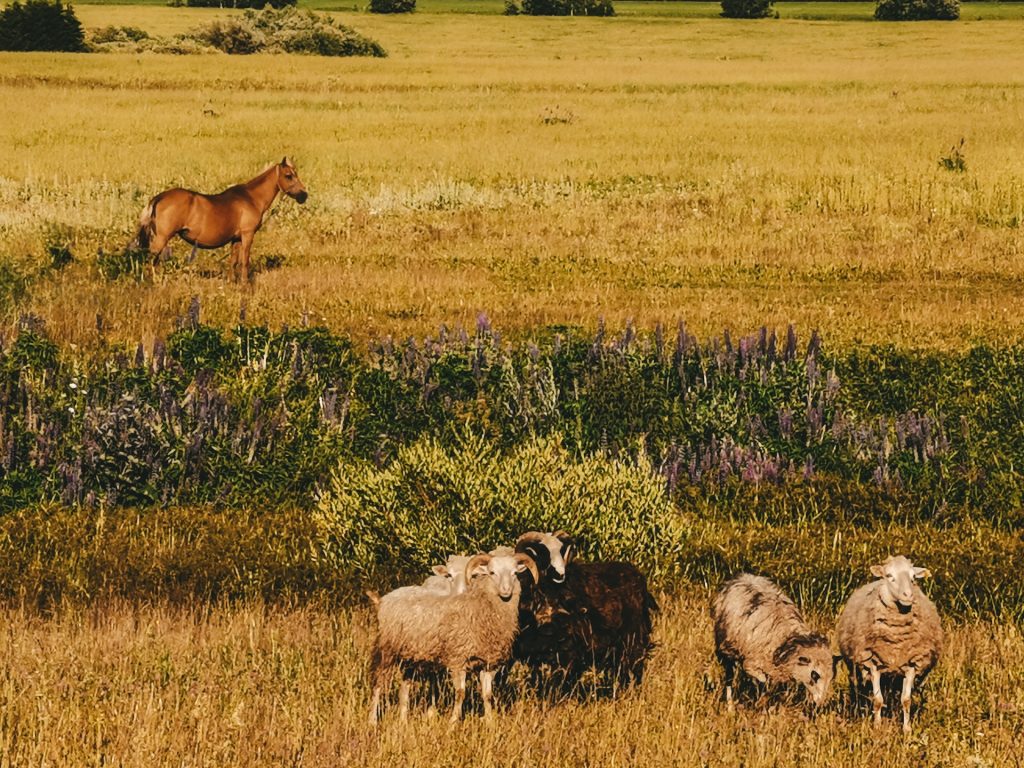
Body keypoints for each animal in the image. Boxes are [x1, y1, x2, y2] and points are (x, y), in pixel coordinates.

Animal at [133, 156, 307, 282]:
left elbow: (233, 261)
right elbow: (244, 261)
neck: (251, 198)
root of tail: (159, 197)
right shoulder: (247, 235)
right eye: (289, 176)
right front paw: (244, 284)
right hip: (162, 238)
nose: (304, 196)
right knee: (151, 259)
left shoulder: (236, 238)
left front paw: (231, 282)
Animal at [370, 548, 544, 724]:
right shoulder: (458, 659)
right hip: (387, 648)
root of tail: (386, 598)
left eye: (514, 573)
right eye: (492, 572)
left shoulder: (487, 663)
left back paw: (403, 721)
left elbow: (487, 695)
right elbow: (460, 693)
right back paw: (372, 720)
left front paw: (490, 722)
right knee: (378, 683)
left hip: (412, 655)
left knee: (404, 686)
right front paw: (453, 722)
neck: (480, 608)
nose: (506, 590)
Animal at [509, 532, 655, 696]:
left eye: (562, 550)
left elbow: (558, 681)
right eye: (543, 552)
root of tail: (640, 578)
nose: (560, 574)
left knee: (633, 667)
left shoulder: (567, 649)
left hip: (633, 639)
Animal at [712, 577, 831, 708]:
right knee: (729, 677)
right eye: (815, 675)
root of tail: (741, 577)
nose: (819, 703)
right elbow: (762, 680)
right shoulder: (751, 663)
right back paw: (730, 704)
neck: (785, 641)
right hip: (725, 649)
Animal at [835, 552, 937, 733]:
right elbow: (877, 700)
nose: (908, 595)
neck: (896, 640)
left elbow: (906, 700)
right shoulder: (873, 664)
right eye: (889, 576)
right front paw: (877, 726)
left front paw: (907, 729)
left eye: (913, 578)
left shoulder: (911, 665)